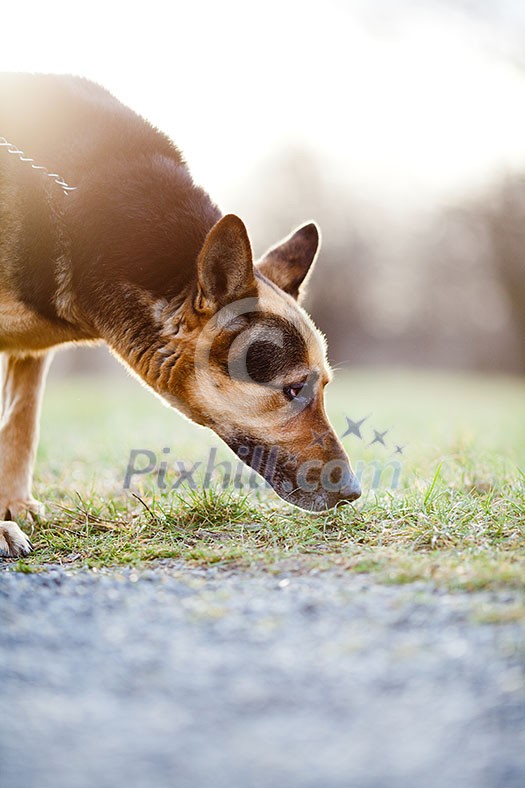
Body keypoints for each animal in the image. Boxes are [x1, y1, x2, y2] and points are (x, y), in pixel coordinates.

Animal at [0, 72, 360, 556]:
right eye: (292, 389)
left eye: (322, 387)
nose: (354, 491)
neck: (88, 216)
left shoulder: (29, 356)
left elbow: (21, 425)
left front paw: (15, 505)